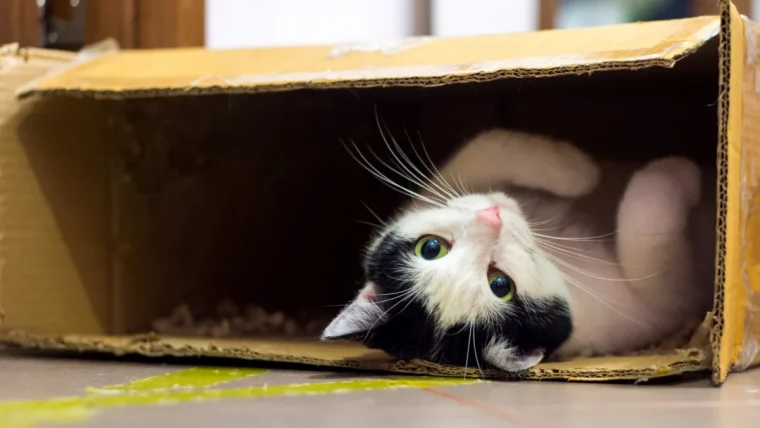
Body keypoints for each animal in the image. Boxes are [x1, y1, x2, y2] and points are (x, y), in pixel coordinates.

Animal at [320, 129, 712, 372]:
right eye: (500, 285)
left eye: (430, 248)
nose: (492, 217)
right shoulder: (656, 303)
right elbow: (646, 224)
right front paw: (681, 170)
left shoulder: (438, 187)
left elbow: (488, 145)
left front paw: (577, 170)